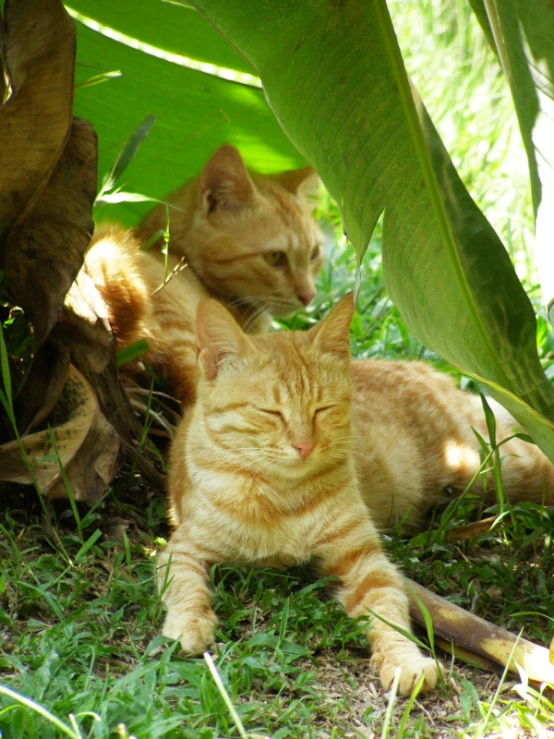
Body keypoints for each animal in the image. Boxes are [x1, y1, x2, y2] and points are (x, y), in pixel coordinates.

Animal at [158, 294, 440, 692]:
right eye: (270, 412)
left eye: (322, 409)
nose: (304, 445)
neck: (281, 495)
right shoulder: (180, 550)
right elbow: (185, 587)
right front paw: (189, 625)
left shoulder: (363, 560)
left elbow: (388, 608)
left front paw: (405, 659)